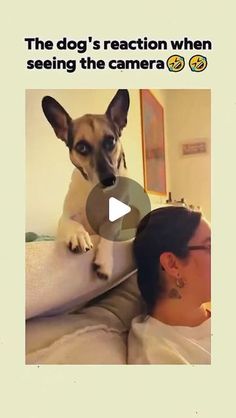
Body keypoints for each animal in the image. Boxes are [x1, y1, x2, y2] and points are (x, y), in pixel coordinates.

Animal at [41, 90, 130, 280]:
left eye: (110, 141)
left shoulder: (115, 220)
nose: (109, 180)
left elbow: (108, 229)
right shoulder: (66, 217)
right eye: (81, 147)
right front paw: (78, 234)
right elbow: (71, 222)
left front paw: (104, 261)